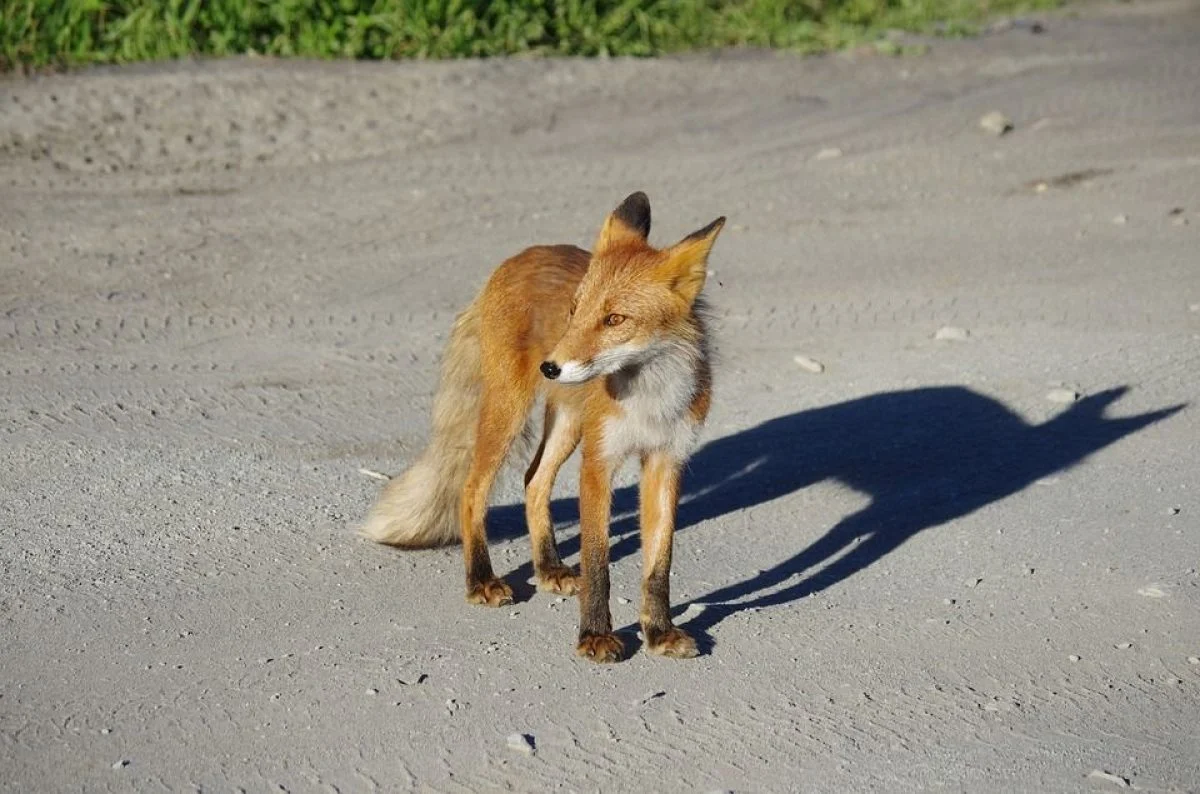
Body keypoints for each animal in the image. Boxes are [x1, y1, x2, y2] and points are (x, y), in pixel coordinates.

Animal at [360, 194, 724, 666]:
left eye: (615, 319)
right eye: (575, 310)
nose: (551, 367)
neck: (649, 398)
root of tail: (520, 256)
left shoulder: (667, 461)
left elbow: (659, 564)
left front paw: (659, 632)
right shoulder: (598, 461)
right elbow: (597, 561)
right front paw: (595, 635)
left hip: (567, 423)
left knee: (534, 480)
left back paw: (547, 567)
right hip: (510, 412)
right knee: (471, 489)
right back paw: (481, 579)